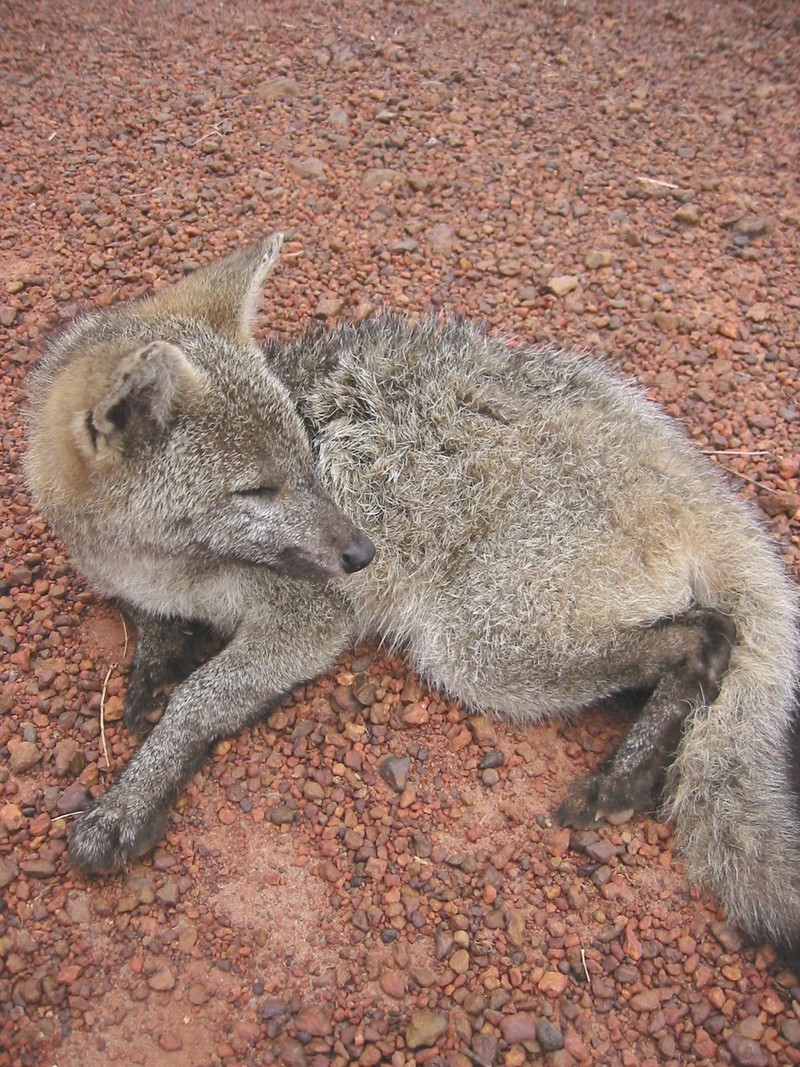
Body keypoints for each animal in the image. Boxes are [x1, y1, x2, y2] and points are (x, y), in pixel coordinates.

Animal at [23, 235, 800, 960]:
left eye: (308, 456)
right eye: (256, 490)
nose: (361, 554)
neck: (162, 564)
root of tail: (680, 462)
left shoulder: (311, 619)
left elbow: (202, 697)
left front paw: (132, 797)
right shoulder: (123, 576)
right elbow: (148, 625)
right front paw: (155, 664)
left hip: (481, 650)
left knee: (707, 633)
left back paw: (628, 772)